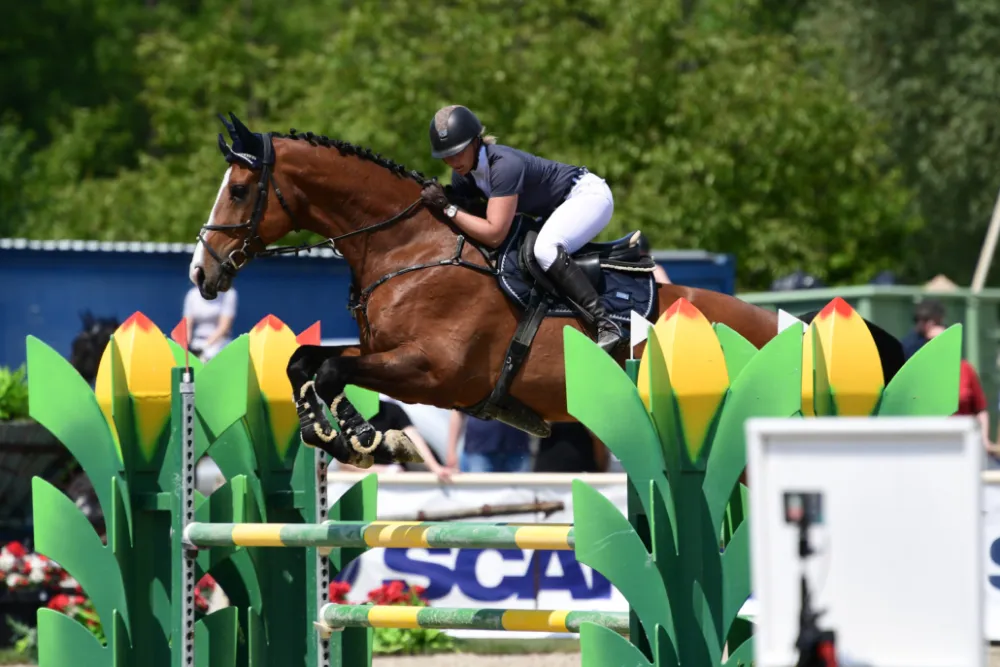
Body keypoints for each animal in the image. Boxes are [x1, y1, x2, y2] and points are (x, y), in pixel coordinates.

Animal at [189, 113, 904, 468]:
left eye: (242, 190)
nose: (202, 272)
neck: (410, 251)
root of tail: (798, 325)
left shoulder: (432, 371)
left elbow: (334, 368)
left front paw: (361, 439)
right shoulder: (387, 354)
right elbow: (305, 362)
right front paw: (343, 435)